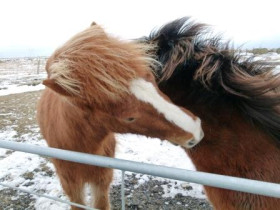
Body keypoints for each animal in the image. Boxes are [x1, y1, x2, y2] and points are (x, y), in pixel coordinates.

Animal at [37, 23, 203, 210]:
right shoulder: (73, 187)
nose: (195, 129)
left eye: (152, 80)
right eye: (129, 117)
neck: (78, 147)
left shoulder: (102, 181)